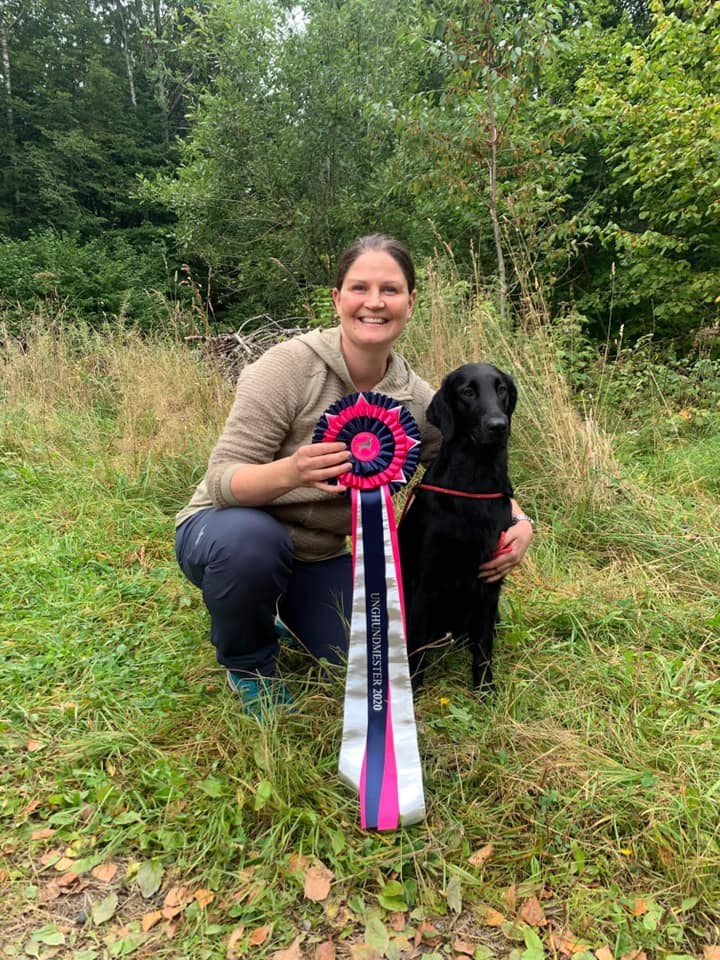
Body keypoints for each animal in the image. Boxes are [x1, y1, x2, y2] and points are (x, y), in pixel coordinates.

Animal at [398, 362, 517, 693]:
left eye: (502, 389)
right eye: (467, 392)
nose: (498, 425)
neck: (475, 482)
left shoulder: (491, 583)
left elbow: (484, 647)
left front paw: (485, 689)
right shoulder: (423, 582)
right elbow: (416, 645)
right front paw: (412, 691)